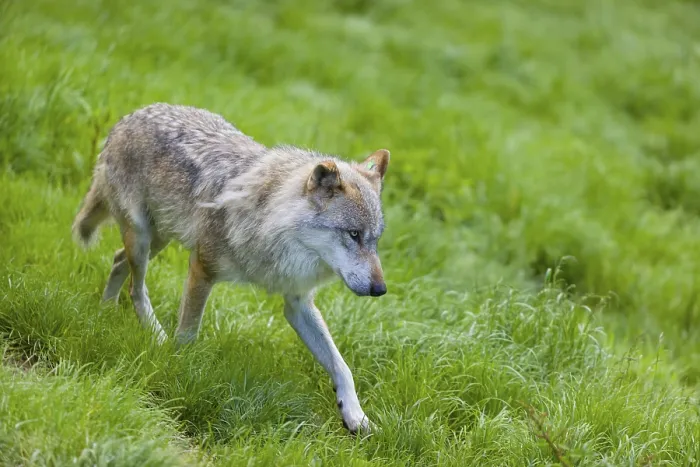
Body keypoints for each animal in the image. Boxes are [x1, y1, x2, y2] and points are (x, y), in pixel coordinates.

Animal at [71, 103, 390, 433]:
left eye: (375, 240)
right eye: (353, 234)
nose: (381, 289)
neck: (271, 225)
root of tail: (129, 117)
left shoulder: (297, 303)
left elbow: (342, 366)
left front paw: (356, 416)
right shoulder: (201, 268)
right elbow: (187, 335)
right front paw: (178, 370)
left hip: (158, 239)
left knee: (117, 261)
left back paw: (105, 310)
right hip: (144, 239)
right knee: (136, 288)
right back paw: (156, 336)